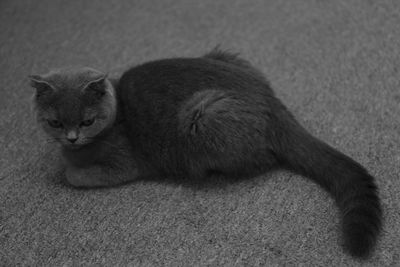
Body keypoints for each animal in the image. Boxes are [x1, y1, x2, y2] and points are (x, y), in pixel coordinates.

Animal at [28, 48, 382, 260]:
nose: (72, 138)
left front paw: (68, 170)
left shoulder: (122, 163)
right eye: (55, 122)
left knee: (263, 161)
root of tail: (271, 101)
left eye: (87, 121)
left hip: (205, 116)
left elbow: (76, 175)